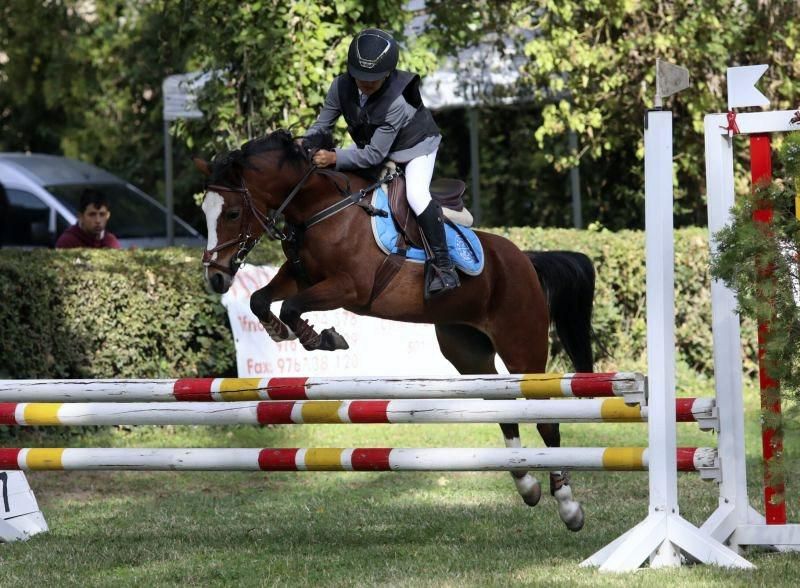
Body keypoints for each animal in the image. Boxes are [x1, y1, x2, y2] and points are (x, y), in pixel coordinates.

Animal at [192, 130, 592, 532]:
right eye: (205, 214)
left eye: (232, 213)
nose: (216, 277)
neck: (319, 208)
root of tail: (526, 259)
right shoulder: (299, 275)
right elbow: (260, 299)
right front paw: (281, 331)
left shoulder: (350, 287)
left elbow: (291, 306)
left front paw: (321, 338)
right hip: (468, 353)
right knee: (504, 409)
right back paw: (527, 484)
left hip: (522, 348)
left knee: (545, 421)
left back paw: (568, 505)